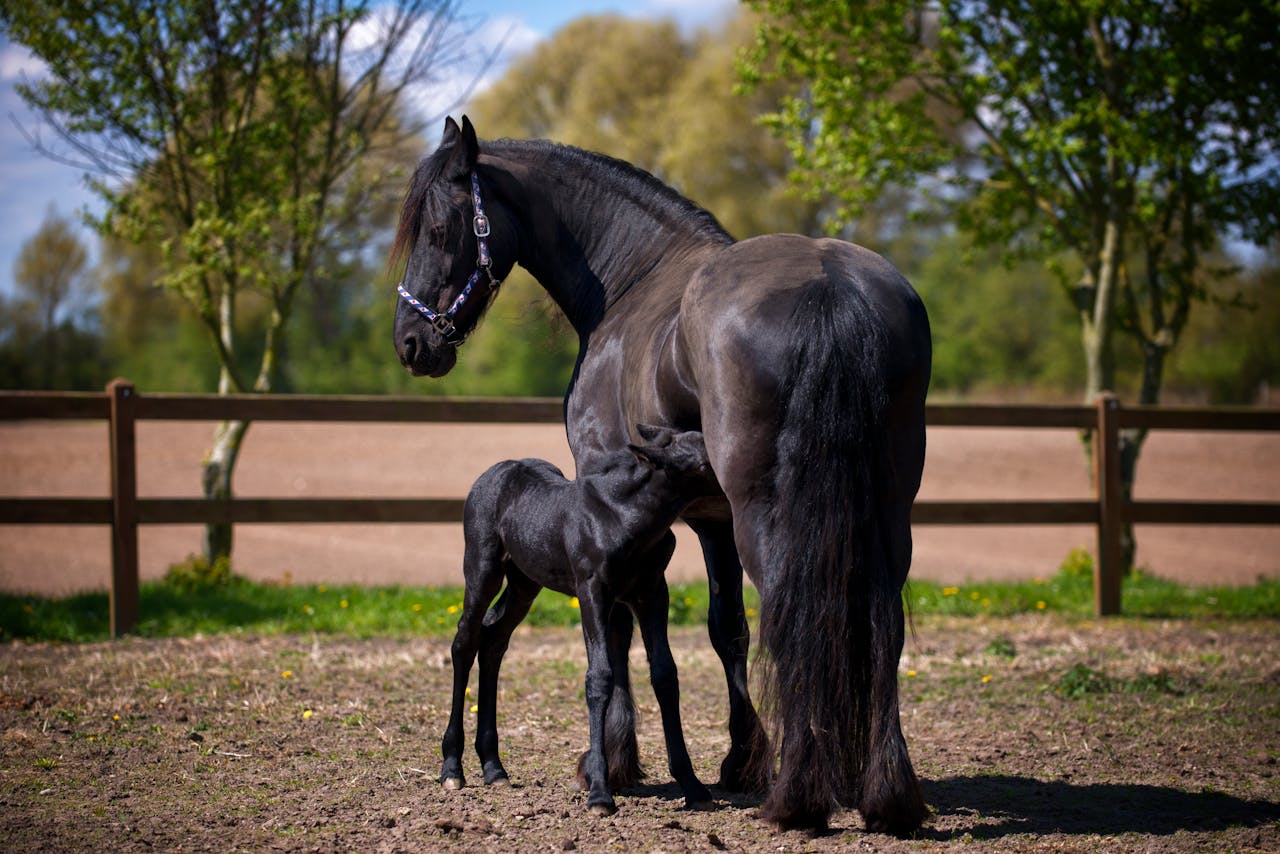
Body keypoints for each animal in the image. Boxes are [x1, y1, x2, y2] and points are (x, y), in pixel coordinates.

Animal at [441, 425, 720, 814]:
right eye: (704, 462)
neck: (623, 516)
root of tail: (494, 472)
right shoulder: (592, 591)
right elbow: (599, 678)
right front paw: (600, 793)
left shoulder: (653, 592)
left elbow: (665, 674)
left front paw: (692, 785)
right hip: (482, 568)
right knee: (465, 643)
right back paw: (452, 768)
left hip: (525, 582)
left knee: (493, 641)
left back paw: (494, 767)